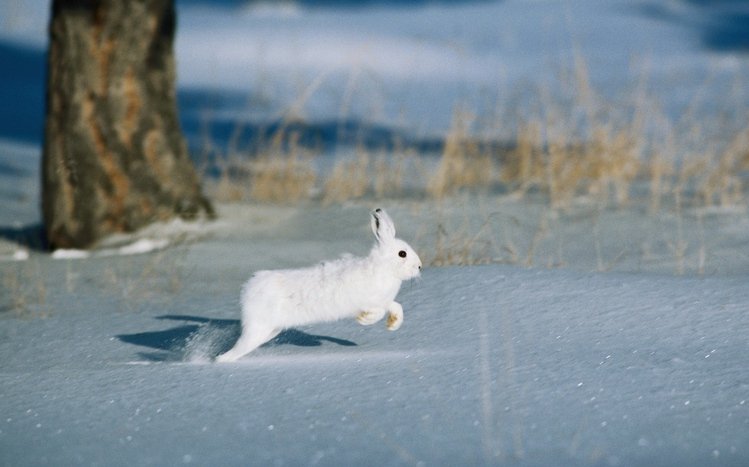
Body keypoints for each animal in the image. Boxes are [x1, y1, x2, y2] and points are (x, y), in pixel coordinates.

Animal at [215, 208, 422, 362]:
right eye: (402, 254)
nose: (419, 266)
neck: (383, 268)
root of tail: (248, 289)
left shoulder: (385, 301)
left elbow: (397, 307)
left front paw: (393, 325)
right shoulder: (367, 301)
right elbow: (376, 312)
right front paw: (363, 320)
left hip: (270, 330)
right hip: (258, 328)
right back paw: (219, 361)